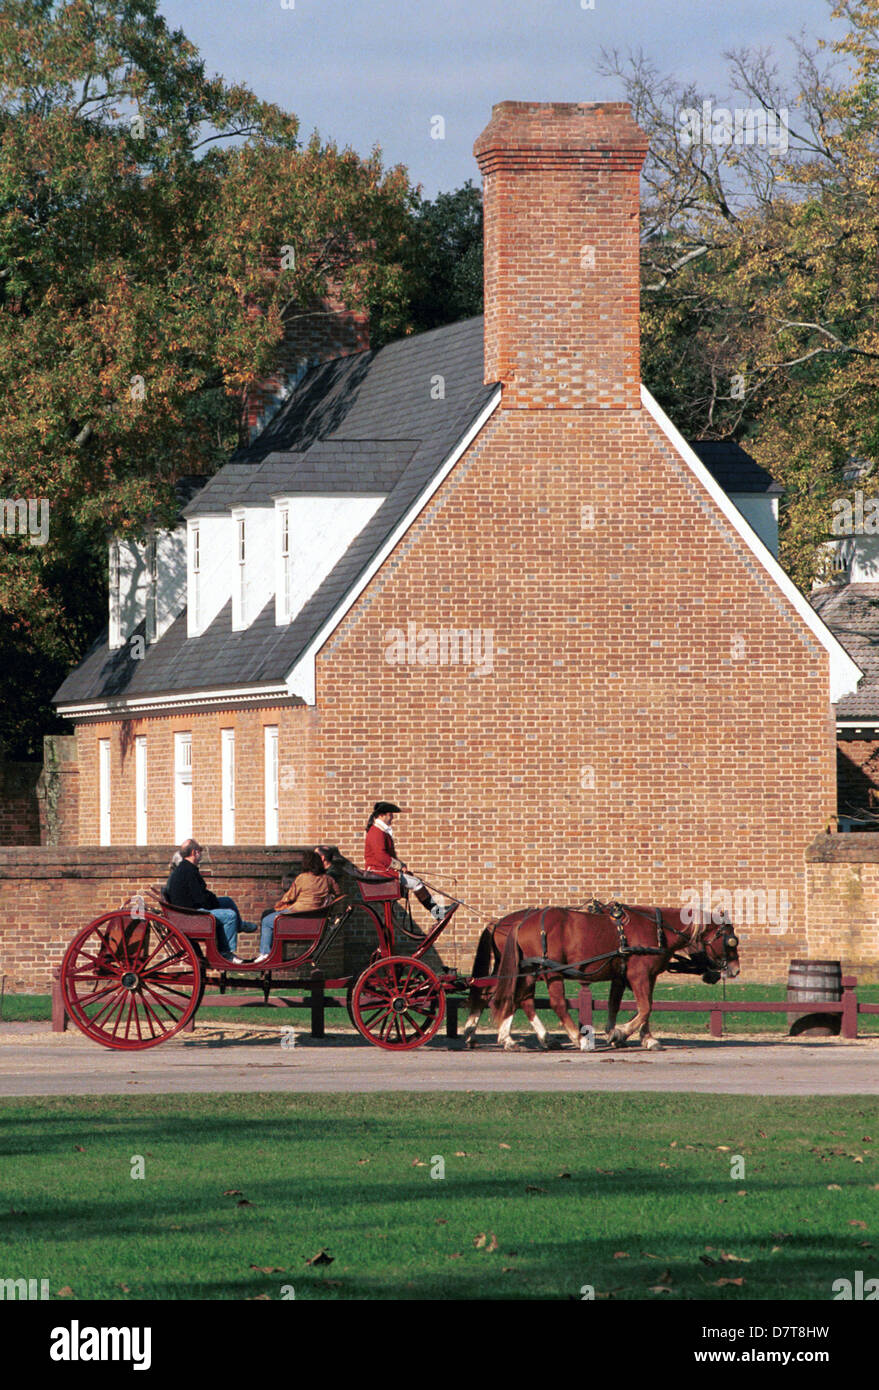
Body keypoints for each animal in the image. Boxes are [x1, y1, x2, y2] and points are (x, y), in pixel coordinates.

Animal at [458, 900, 739, 1050]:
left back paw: (513, 1037)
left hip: (526, 970)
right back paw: (576, 1038)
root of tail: (514, 923)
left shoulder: (627, 977)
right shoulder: (639, 975)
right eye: (730, 940)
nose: (734, 969)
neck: (656, 929)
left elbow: (622, 1005)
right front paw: (621, 1033)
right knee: (552, 1003)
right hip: (548, 972)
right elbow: (646, 1007)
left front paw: (641, 1037)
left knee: (511, 998)